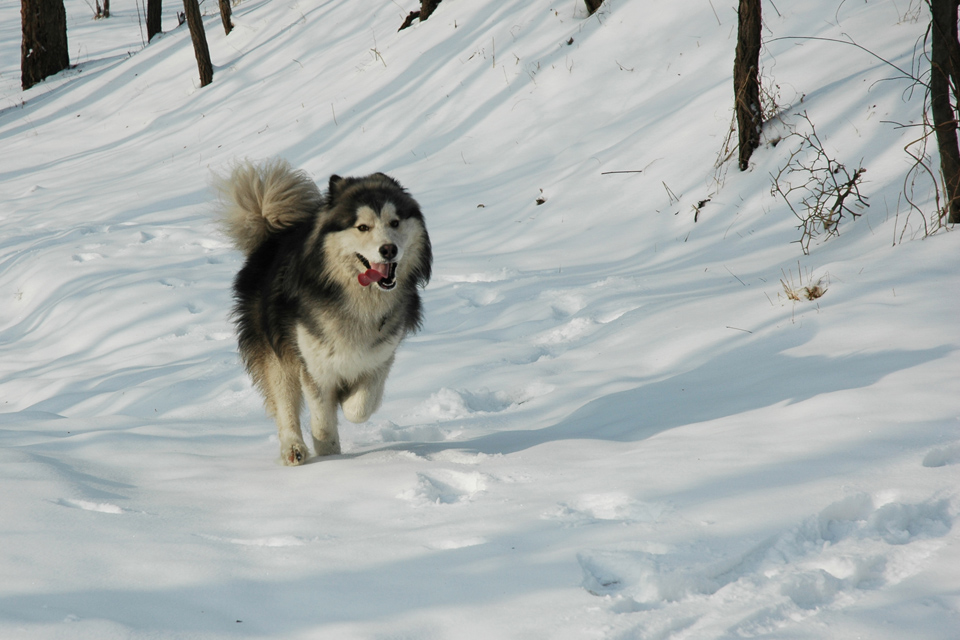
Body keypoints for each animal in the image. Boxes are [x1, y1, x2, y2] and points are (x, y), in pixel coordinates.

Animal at [218, 158, 432, 462]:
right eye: (362, 227)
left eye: (395, 222)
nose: (389, 249)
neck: (359, 301)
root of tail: (272, 236)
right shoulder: (315, 366)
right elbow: (322, 419)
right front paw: (330, 458)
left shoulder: (379, 357)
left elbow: (361, 406)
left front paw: (347, 400)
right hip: (277, 352)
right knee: (285, 405)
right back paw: (293, 449)